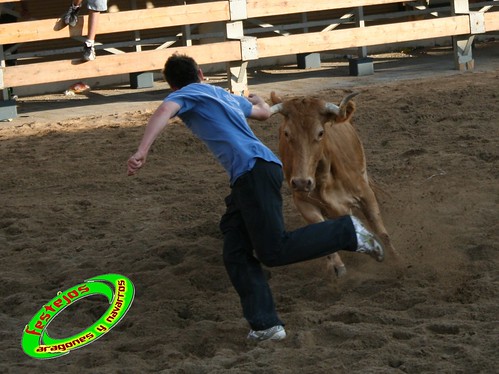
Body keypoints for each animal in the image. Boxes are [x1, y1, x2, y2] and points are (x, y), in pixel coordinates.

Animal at [272, 92, 396, 276]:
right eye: (286, 133)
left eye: (320, 133)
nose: (301, 182)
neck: (324, 179)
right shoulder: (303, 202)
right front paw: (337, 266)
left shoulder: (365, 194)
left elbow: (381, 230)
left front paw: (395, 260)